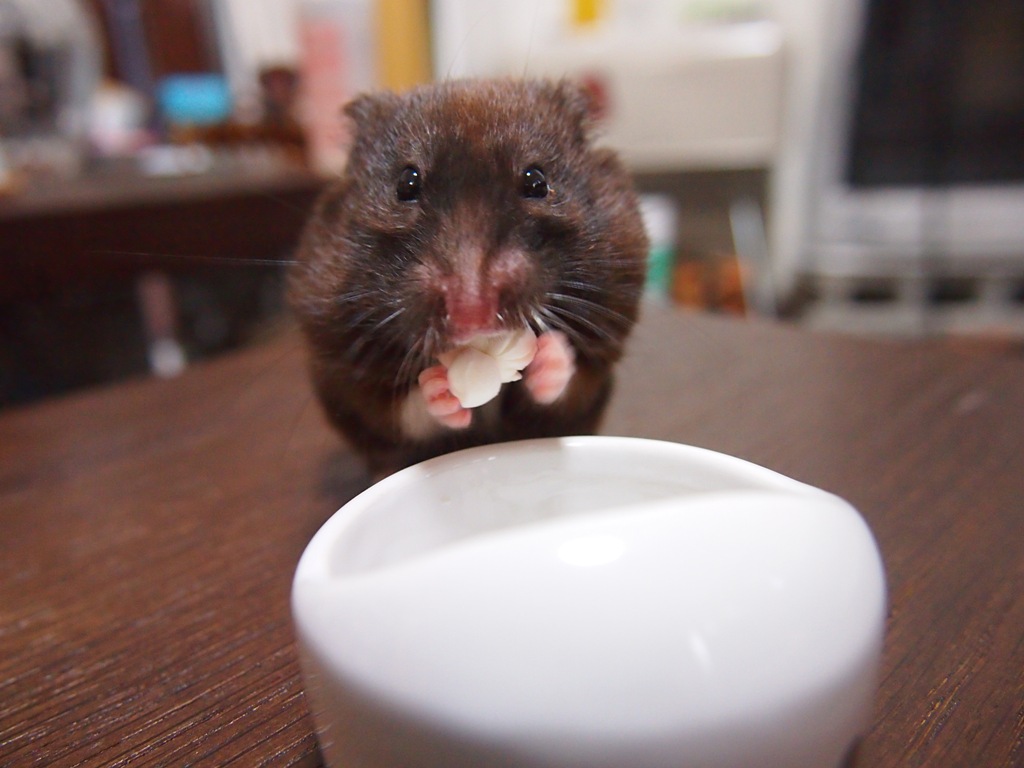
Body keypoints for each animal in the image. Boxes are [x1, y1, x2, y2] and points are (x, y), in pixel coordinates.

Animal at [288, 79, 649, 476]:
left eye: (537, 182)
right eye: (405, 184)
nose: (472, 314)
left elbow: (564, 389)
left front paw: (551, 356)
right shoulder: (351, 374)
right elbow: (405, 413)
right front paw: (438, 388)